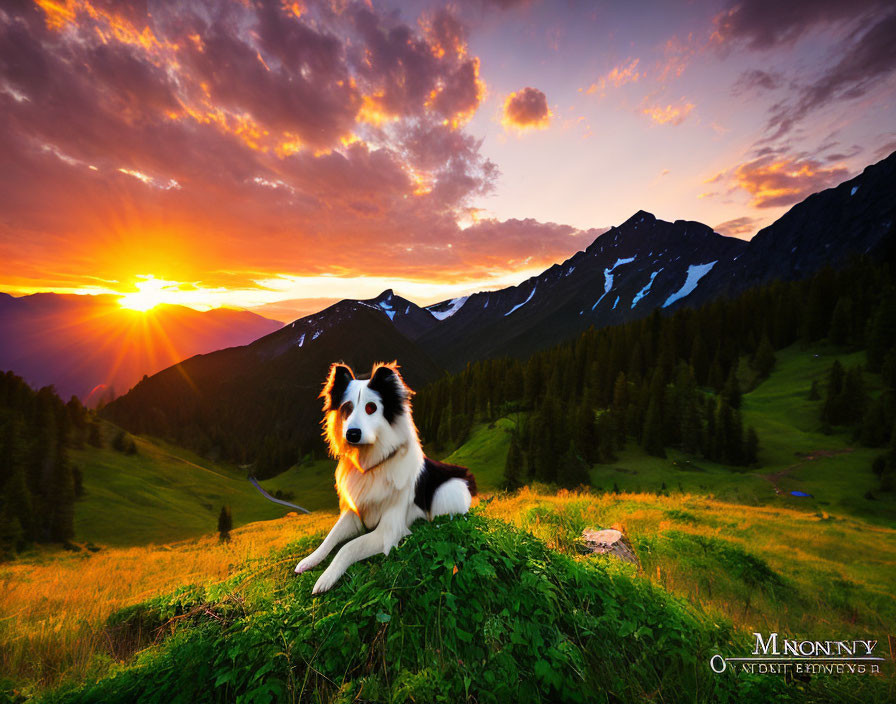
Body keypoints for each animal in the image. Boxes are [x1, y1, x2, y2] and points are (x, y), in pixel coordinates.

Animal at [294, 364, 476, 592]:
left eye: (371, 408)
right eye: (347, 408)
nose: (352, 434)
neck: (371, 467)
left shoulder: (388, 531)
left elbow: (347, 547)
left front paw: (326, 577)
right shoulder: (356, 513)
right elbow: (331, 536)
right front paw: (310, 559)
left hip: (449, 490)